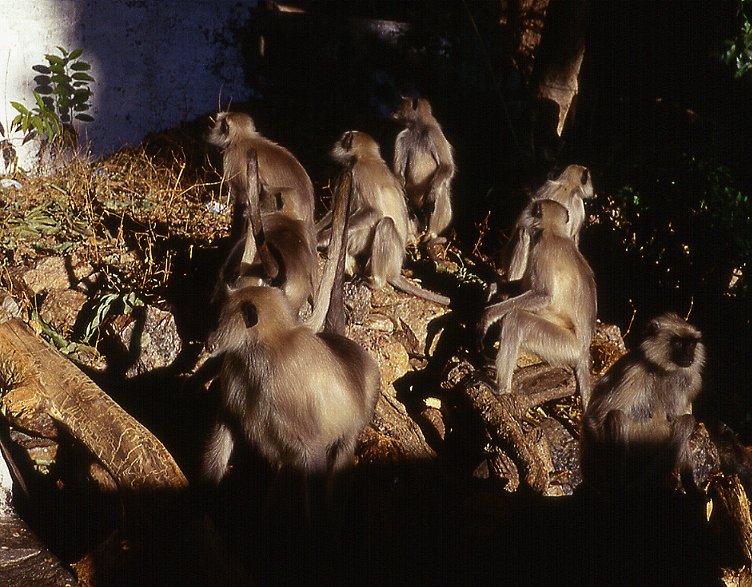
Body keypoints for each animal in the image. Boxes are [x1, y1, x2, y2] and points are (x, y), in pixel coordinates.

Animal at [314, 130, 450, 306]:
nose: (335, 144)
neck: (368, 157)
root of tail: (396, 270)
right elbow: (333, 211)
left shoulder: (358, 171)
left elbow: (373, 212)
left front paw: (323, 237)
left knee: (385, 224)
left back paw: (375, 281)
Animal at [390, 97, 456, 248]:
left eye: (400, 104)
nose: (393, 110)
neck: (417, 129)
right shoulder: (402, 137)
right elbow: (398, 173)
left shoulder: (434, 134)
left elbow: (447, 166)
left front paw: (431, 195)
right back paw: (410, 237)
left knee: (440, 190)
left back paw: (431, 233)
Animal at [478, 200, 596, 406]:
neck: (555, 232)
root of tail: (583, 350)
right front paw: (493, 288)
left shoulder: (542, 250)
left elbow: (543, 295)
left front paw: (488, 315)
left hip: (563, 345)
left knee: (516, 318)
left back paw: (501, 388)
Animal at [580, 314, 704, 494]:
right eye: (678, 343)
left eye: (691, 344)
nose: (689, 355)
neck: (662, 371)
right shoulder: (632, 372)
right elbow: (594, 417)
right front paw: (611, 486)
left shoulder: (692, 381)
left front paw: (691, 485)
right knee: (617, 415)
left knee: (687, 421)